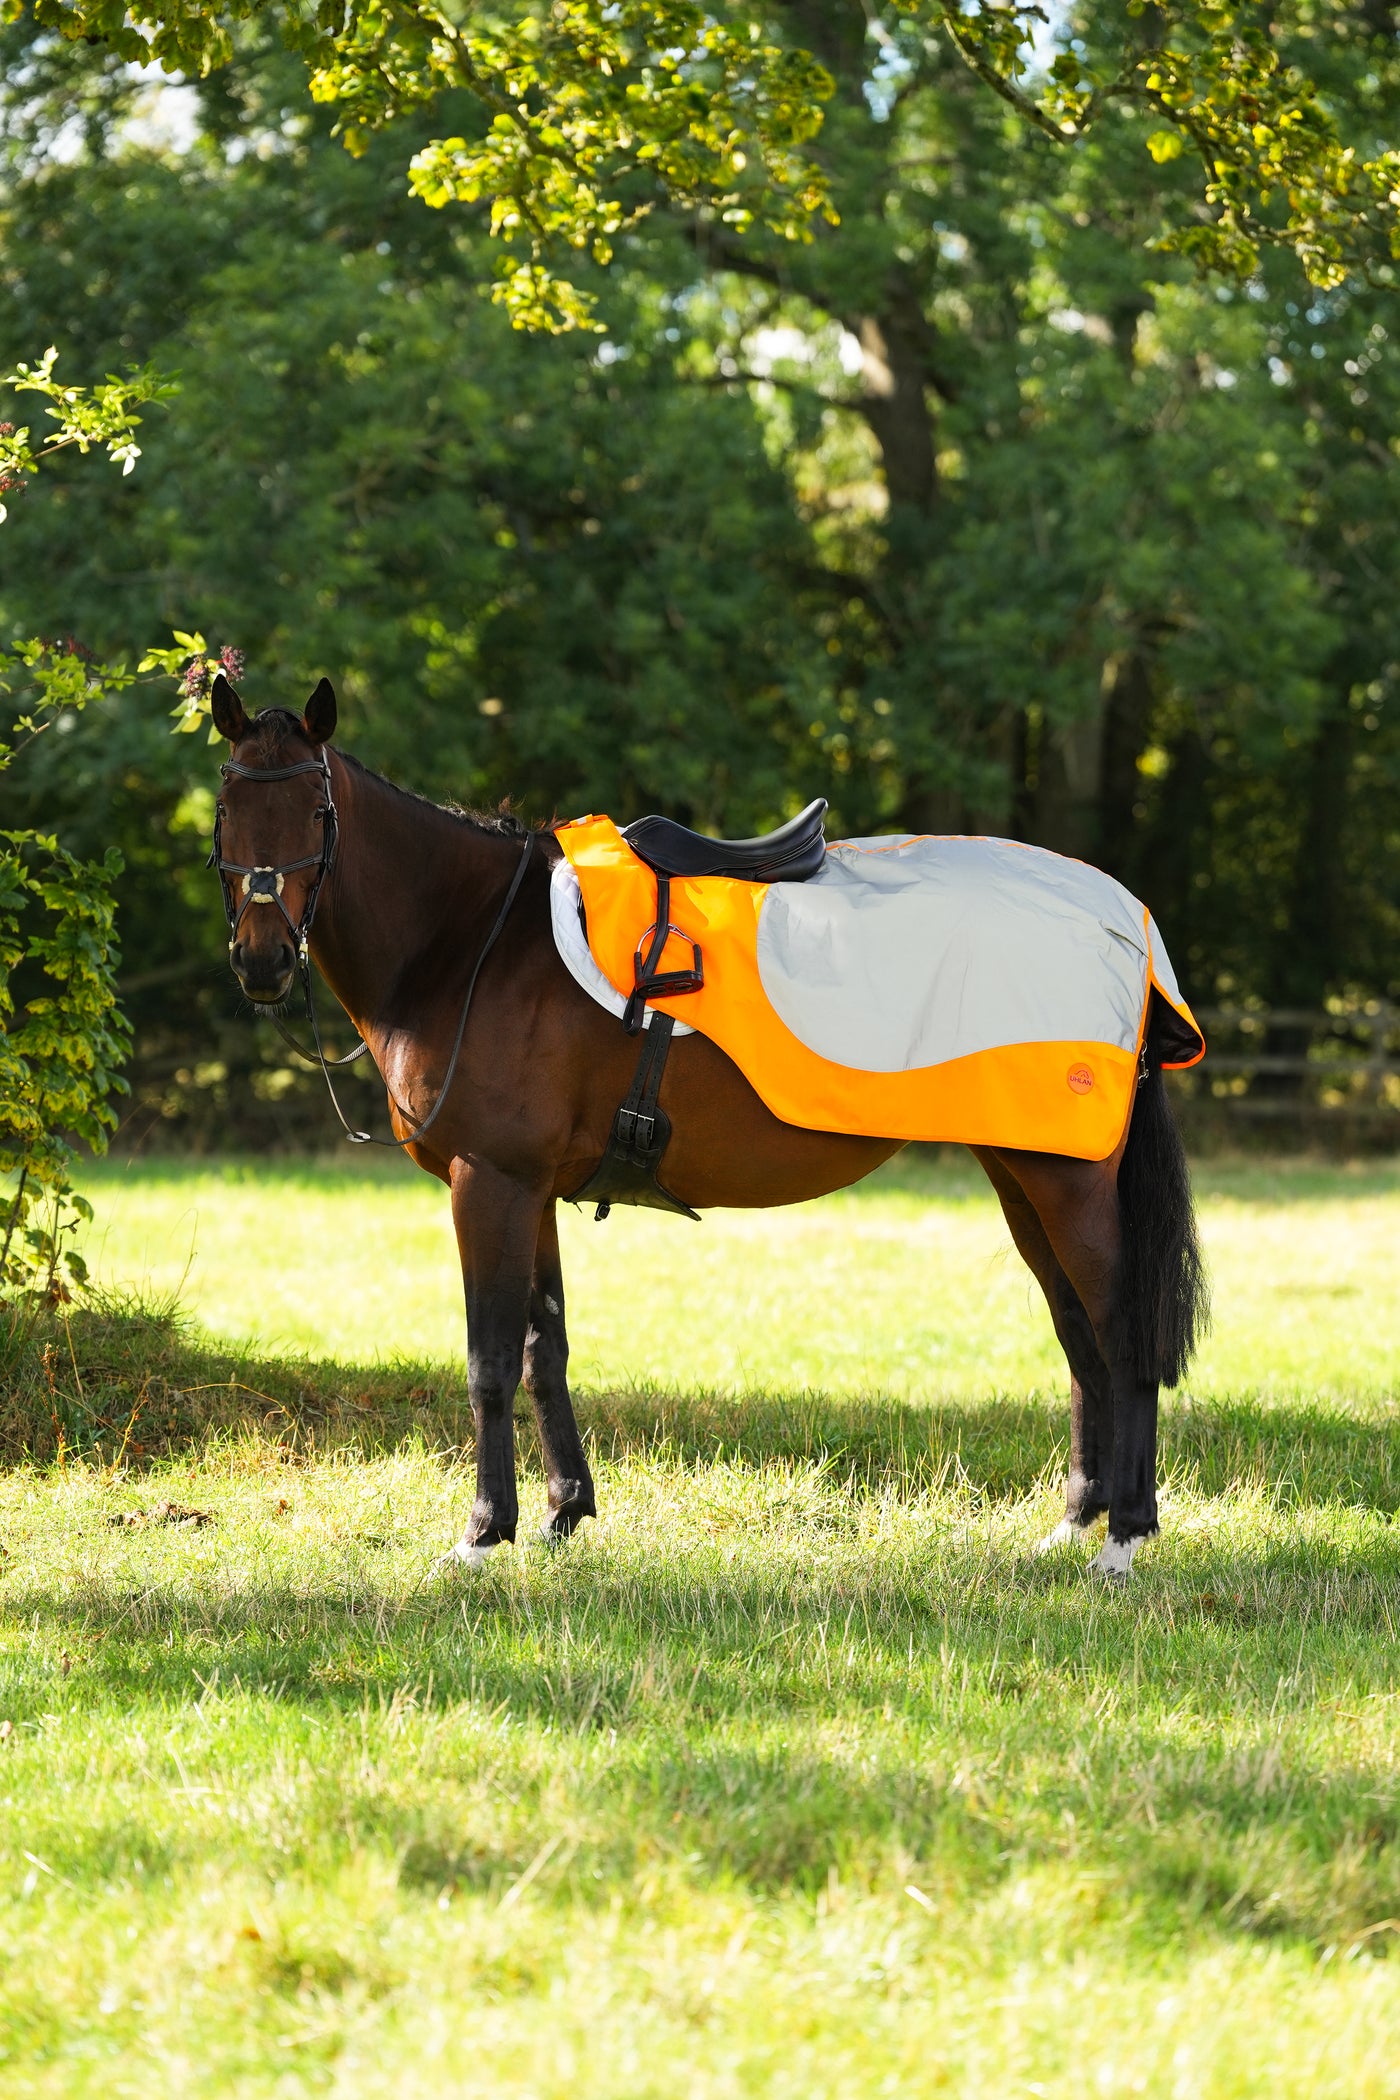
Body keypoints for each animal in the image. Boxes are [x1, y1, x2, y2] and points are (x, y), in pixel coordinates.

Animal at [207, 675, 1207, 1581]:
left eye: (317, 813)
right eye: (225, 811)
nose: (260, 963)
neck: (470, 942)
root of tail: (1127, 923)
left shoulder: (489, 1182)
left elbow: (488, 1359)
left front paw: (484, 1534)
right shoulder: (531, 1191)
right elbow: (543, 1349)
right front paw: (564, 1513)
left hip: (1065, 1180)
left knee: (1122, 1334)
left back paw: (1124, 1538)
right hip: (1024, 1170)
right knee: (1079, 1338)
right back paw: (1077, 1522)